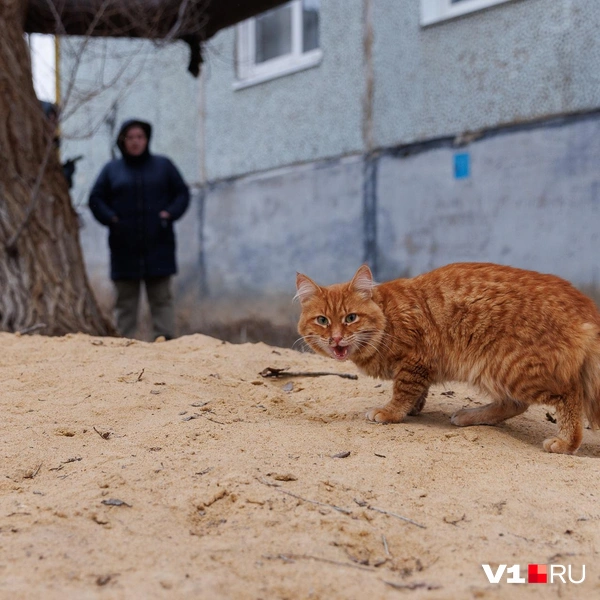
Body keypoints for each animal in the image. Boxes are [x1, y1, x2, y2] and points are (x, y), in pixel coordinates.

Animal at [296, 262, 600, 454]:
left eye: (351, 318)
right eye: (322, 320)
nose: (336, 339)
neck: (387, 317)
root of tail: (586, 307)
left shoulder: (416, 360)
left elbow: (402, 390)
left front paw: (392, 412)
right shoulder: (420, 367)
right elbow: (416, 391)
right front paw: (414, 408)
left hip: (513, 369)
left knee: (568, 396)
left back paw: (566, 442)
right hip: (498, 372)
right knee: (514, 404)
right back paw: (470, 416)